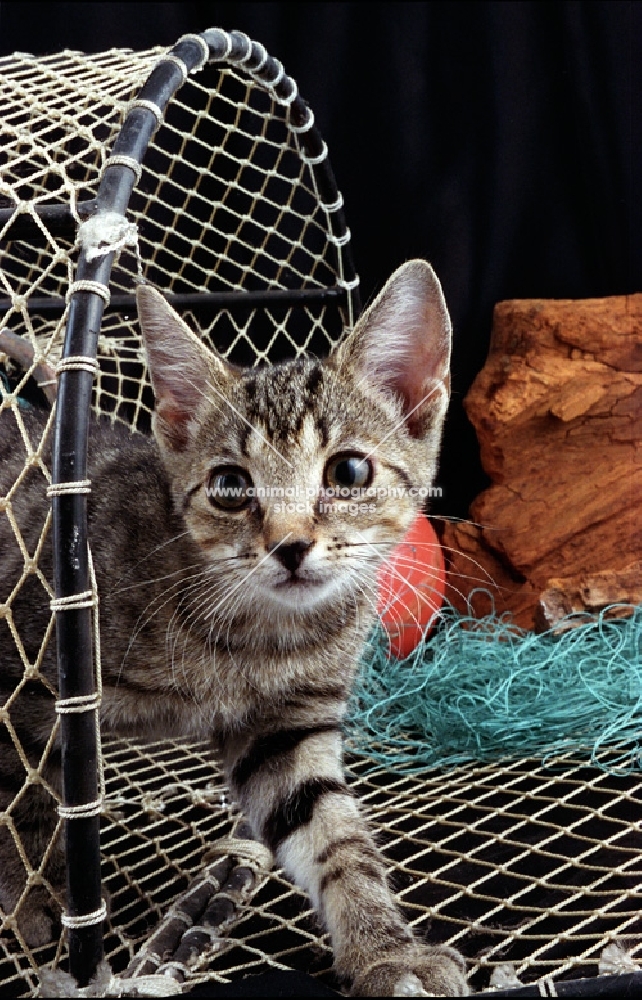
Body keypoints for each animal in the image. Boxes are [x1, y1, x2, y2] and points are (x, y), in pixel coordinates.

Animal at [1, 262, 464, 996]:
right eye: (228, 485)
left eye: (349, 471)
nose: (290, 545)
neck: (256, 637)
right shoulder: (24, 676)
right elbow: (24, 801)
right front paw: (35, 898)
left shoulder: (286, 725)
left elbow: (332, 834)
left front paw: (385, 950)